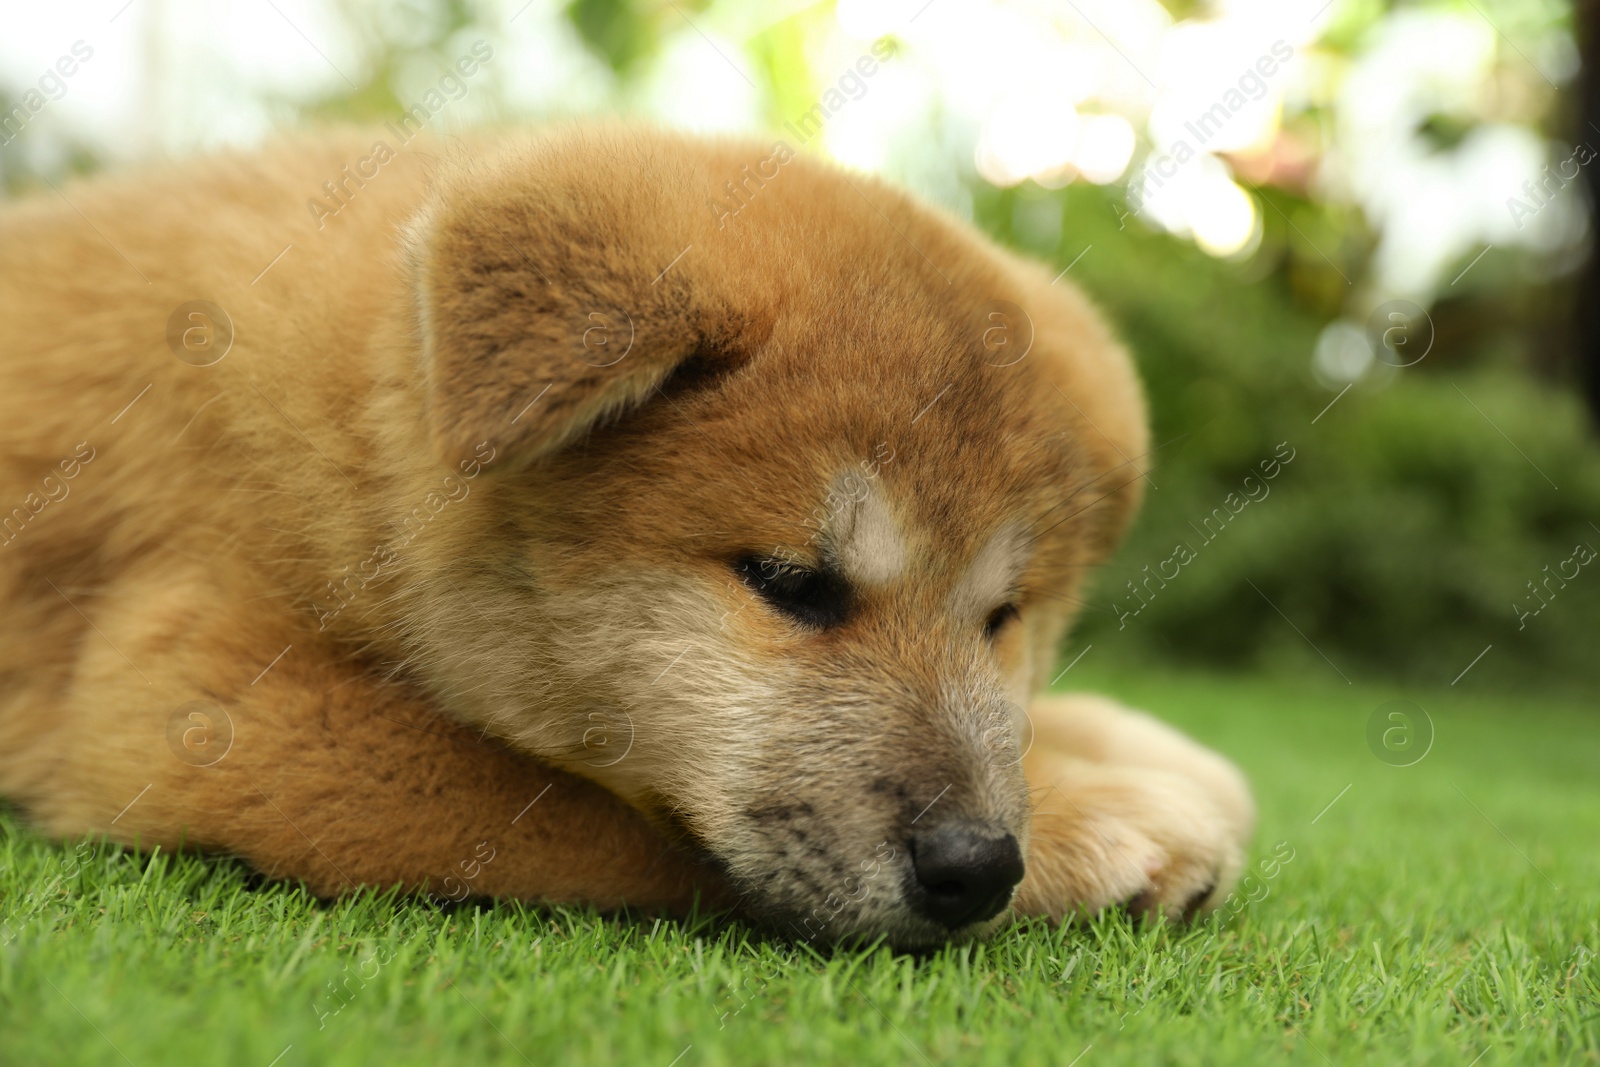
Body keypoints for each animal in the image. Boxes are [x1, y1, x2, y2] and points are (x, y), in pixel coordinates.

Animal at [0, 127, 1248, 953]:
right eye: (791, 582)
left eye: (1001, 618)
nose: (977, 863)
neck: (361, 429)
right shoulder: (196, 699)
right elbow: (598, 815)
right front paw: (1102, 820)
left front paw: (1114, 746)